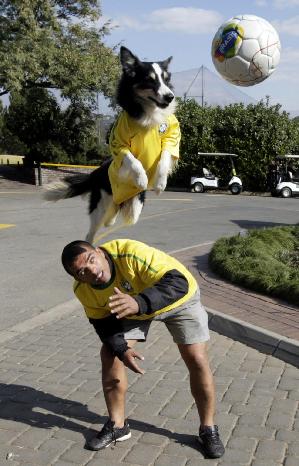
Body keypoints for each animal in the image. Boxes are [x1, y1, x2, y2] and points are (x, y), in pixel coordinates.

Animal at [43, 47, 182, 244]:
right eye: (149, 80)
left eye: (166, 79)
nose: (170, 97)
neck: (148, 114)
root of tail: (96, 173)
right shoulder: (119, 143)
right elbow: (133, 160)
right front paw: (141, 178)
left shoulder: (171, 138)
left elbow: (164, 157)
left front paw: (160, 183)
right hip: (101, 204)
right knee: (93, 231)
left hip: (134, 205)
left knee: (121, 215)